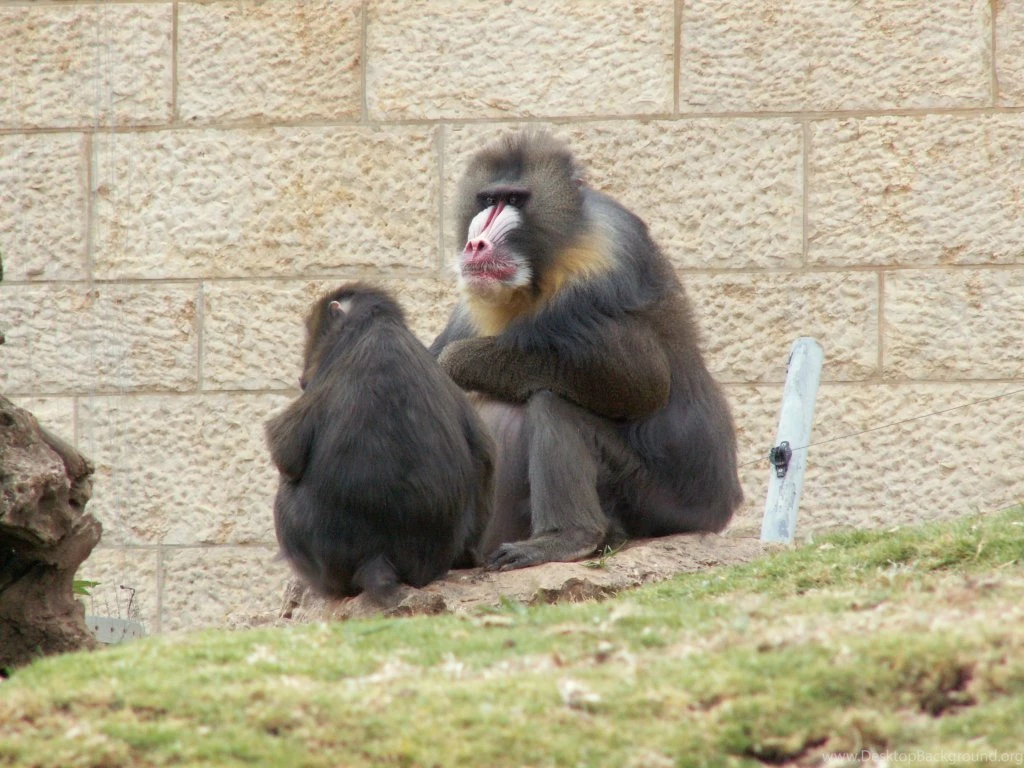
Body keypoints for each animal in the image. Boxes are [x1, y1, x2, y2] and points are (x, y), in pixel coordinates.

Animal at [265, 282, 494, 602]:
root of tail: (377, 558)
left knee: (286, 497)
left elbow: (286, 454)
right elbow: (484, 455)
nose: (301, 378)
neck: (376, 325)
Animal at [430, 131, 744, 571]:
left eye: (514, 200)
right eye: (487, 199)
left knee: (552, 403)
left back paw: (568, 539)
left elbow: (640, 381)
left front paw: (455, 364)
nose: (475, 244)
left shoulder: (600, 266)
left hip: (652, 498)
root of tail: (719, 509)